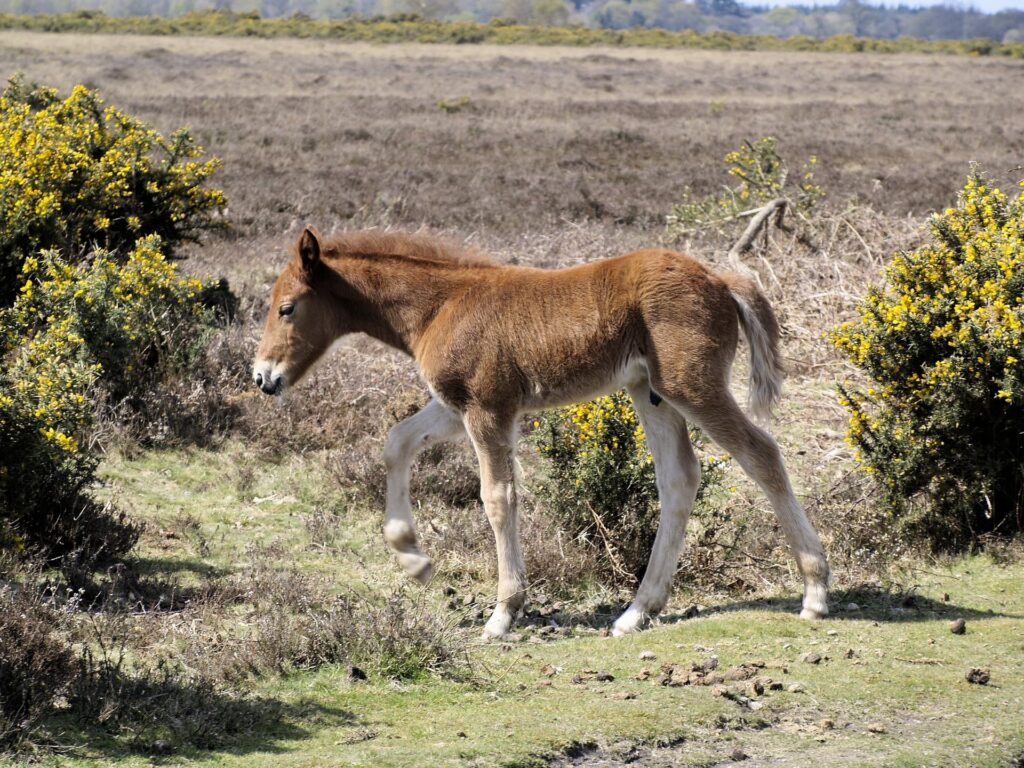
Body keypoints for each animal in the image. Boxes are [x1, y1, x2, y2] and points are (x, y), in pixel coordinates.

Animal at [253, 226, 830, 638]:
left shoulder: (487, 408)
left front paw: (502, 614)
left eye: (287, 307)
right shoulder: (455, 406)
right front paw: (413, 558)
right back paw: (637, 611)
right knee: (679, 480)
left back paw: (815, 592)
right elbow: (397, 442)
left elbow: (497, 497)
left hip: (692, 386)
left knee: (762, 454)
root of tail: (721, 280)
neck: (441, 305)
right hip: (651, 393)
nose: (262, 378)